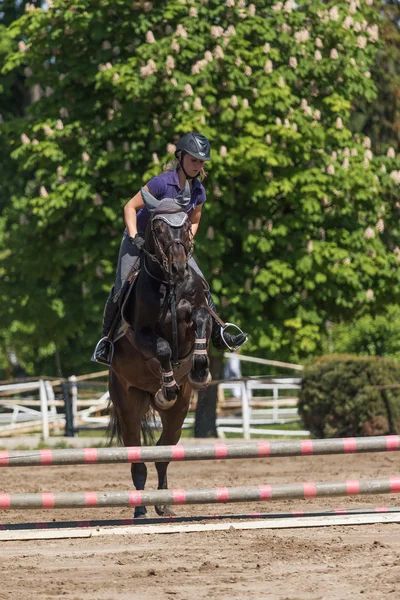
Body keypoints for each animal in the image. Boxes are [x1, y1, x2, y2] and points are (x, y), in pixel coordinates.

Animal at [106, 185, 212, 516]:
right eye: (157, 228)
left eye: (185, 224)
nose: (178, 267)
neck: (170, 285)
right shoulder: (141, 335)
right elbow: (163, 348)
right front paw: (167, 387)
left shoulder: (196, 316)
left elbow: (201, 321)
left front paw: (200, 368)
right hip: (127, 401)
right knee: (137, 458)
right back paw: (140, 508)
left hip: (179, 413)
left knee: (163, 453)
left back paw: (163, 504)